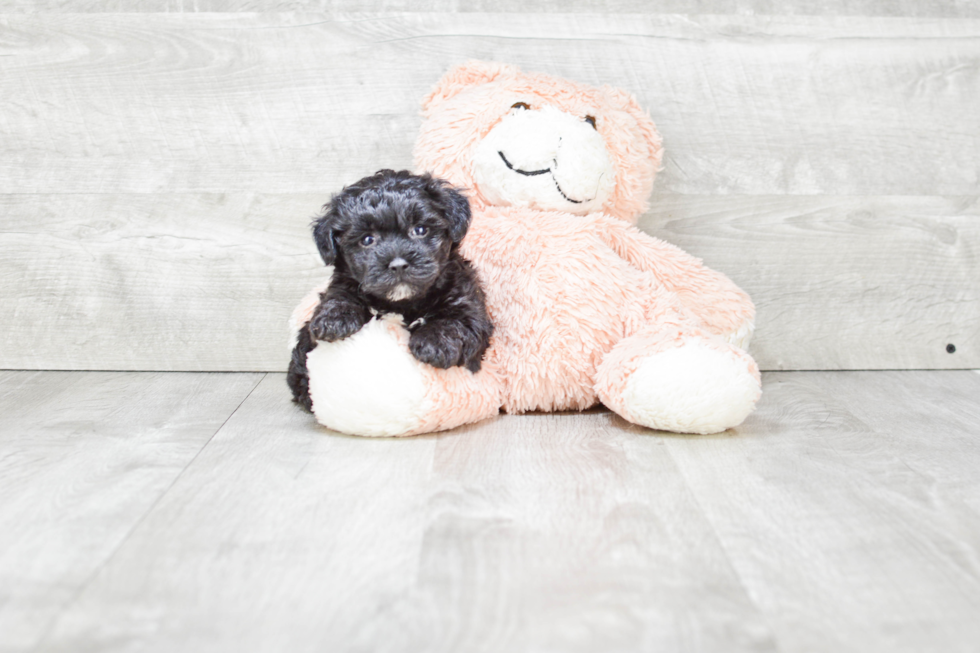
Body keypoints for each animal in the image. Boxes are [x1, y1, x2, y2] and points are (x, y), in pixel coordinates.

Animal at [288, 171, 494, 410]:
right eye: (367, 239)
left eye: (420, 230)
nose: (398, 265)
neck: (403, 303)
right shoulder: (343, 284)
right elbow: (338, 296)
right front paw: (334, 319)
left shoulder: (467, 299)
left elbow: (458, 321)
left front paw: (435, 343)